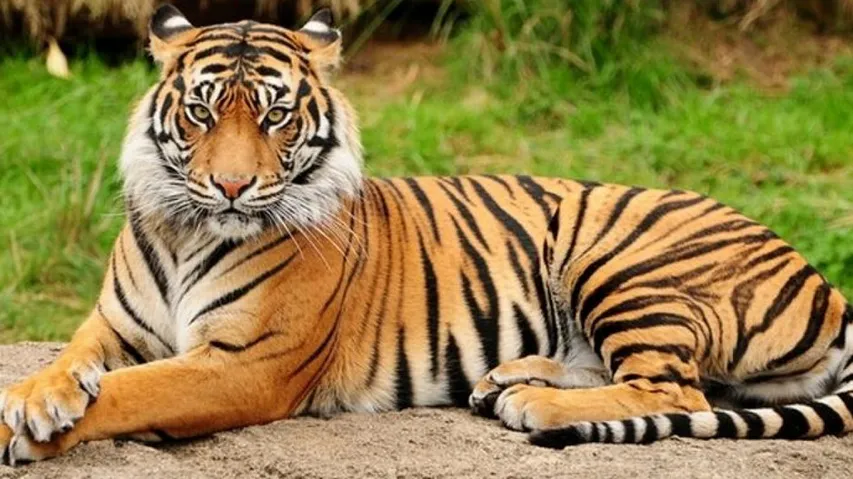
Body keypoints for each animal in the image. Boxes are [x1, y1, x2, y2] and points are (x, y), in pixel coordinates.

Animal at [1, 4, 851, 464]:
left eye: (275, 115)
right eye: (203, 111)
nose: (232, 186)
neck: (186, 230)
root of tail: (828, 286)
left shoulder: (246, 363)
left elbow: (133, 389)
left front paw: (31, 432)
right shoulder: (114, 323)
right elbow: (71, 360)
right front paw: (39, 397)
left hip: (619, 258)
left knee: (671, 384)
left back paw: (529, 404)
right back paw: (508, 377)